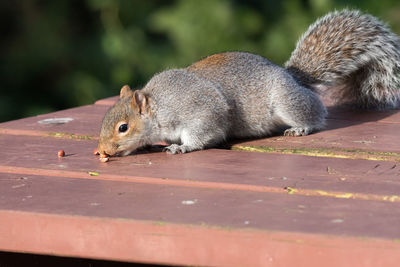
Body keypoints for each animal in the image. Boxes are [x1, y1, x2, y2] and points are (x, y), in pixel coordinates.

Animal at [96, 10, 400, 157]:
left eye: (123, 128)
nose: (104, 150)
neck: (160, 105)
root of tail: (292, 76)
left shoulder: (202, 109)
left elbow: (204, 132)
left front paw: (182, 147)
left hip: (286, 101)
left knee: (315, 112)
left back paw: (301, 127)